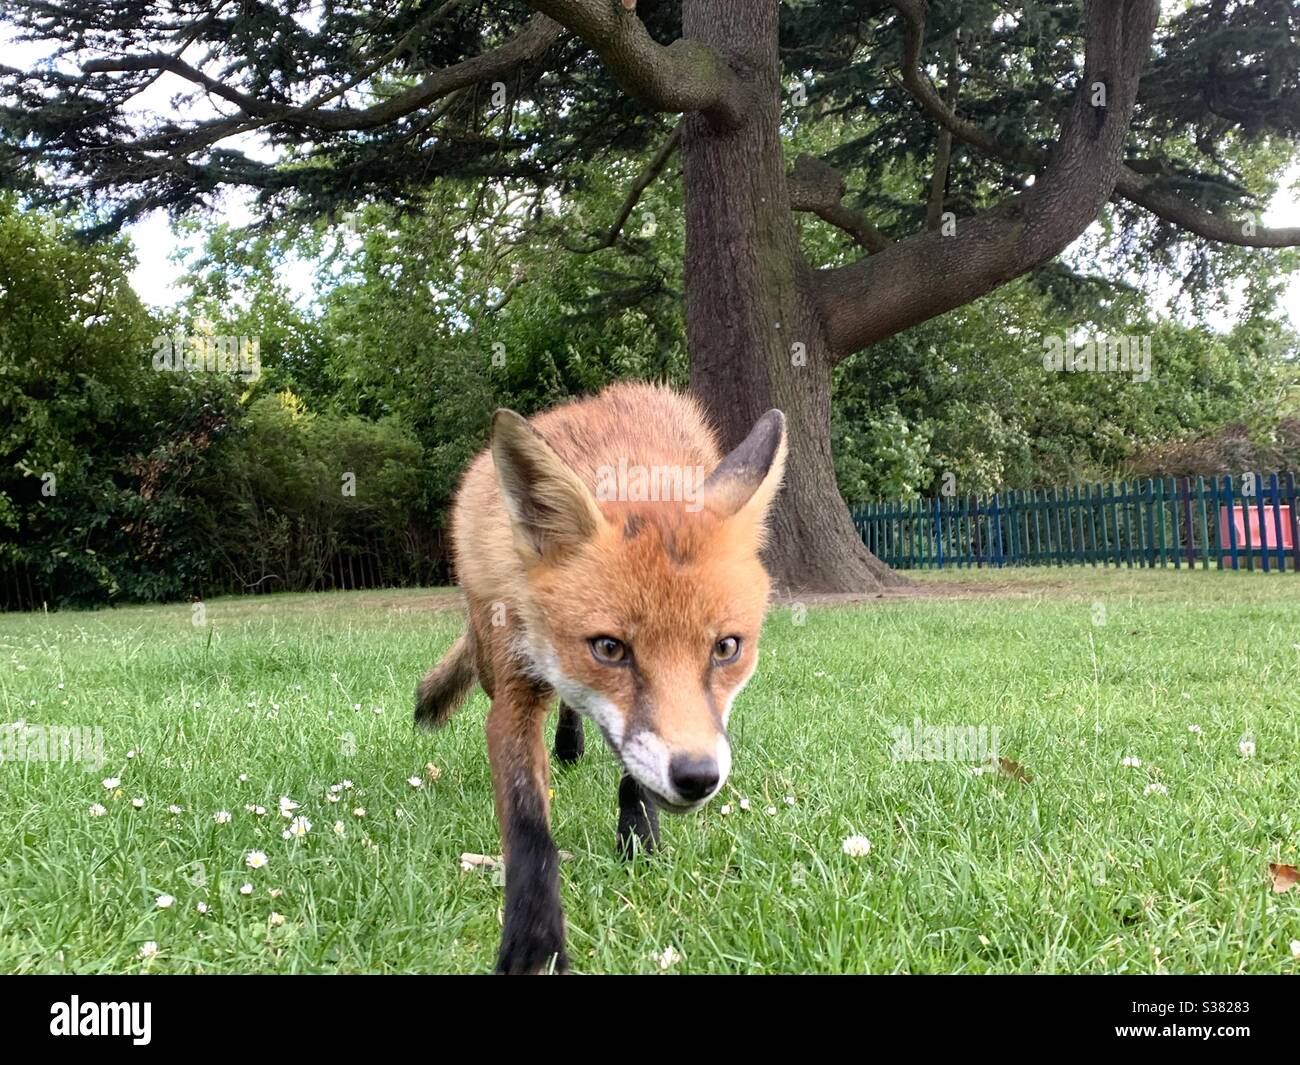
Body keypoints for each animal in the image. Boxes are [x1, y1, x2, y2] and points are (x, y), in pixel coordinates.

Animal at [414, 381, 786, 974]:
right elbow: (527, 824)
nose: (697, 776)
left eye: (727, 648)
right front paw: (534, 945)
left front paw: (638, 842)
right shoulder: (514, 695)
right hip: (492, 653)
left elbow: (633, 775)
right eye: (610, 648)